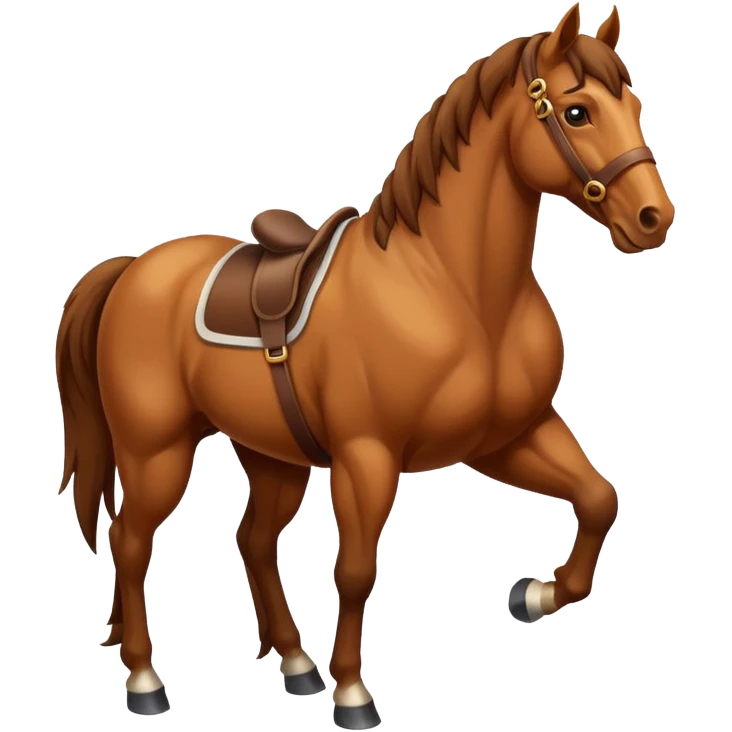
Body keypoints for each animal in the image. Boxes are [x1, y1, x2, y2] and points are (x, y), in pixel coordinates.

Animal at [55, 3, 674, 727]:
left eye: (635, 104)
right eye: (577, 112)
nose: (654, 218)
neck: (452, 289)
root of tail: (133, 269)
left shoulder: (509, 437)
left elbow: (599, 498)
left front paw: (534, 594)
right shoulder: (367, 457)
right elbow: (354, 571)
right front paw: (352, 693)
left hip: (272, 455)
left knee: (252, 539)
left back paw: (296, 665)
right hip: (156, 451)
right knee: (131, 541)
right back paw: (146, 681)